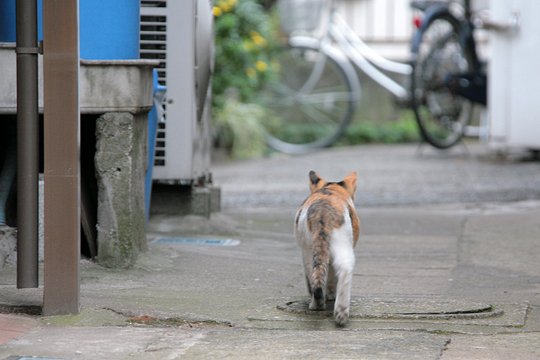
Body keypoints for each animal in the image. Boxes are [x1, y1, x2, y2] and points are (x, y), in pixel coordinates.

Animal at [294, 170, 360, 324]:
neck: (331, 188)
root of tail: (322, 211)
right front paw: (331, 295)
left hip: (308, 250)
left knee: (314, 276)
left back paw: (316, 304)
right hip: (342, 242)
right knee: (345, 267)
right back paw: (341, 312)